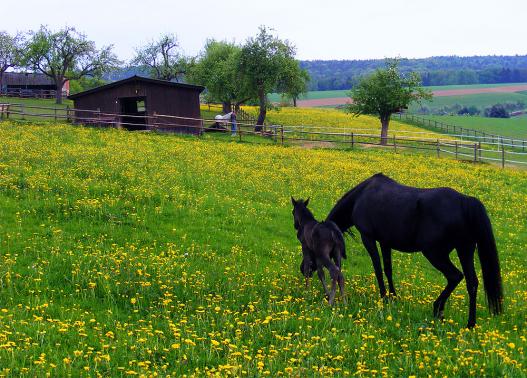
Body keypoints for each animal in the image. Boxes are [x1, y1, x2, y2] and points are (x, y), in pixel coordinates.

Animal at [326, 173, 504, 326]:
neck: (361, 196)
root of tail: (463, 201)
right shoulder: (385, 242)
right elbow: (388, 269)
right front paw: (393, 297)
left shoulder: (368, 238)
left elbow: (377, 268)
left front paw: (384, 297)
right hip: (465, 250)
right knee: (471, 282)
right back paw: (470, 324)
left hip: (435, 253)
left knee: (455, 276)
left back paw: (438, 309)